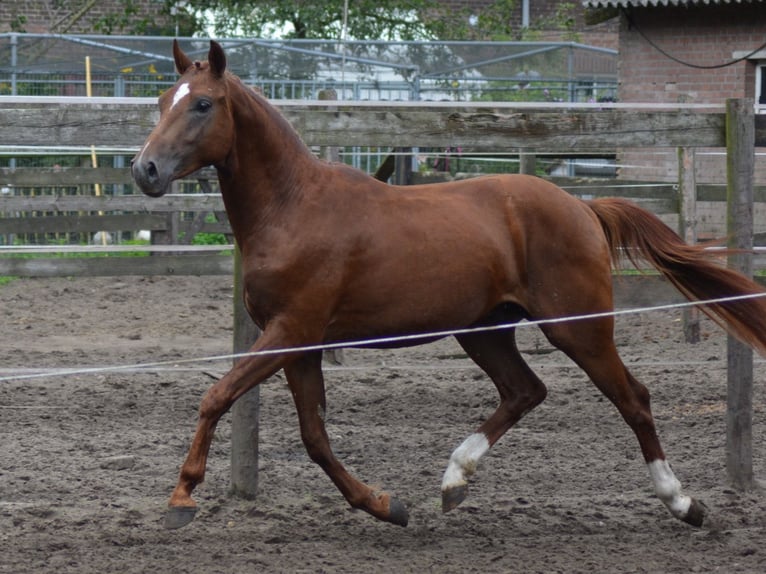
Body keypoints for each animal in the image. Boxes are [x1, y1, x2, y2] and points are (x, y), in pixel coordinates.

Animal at [132, 40, 766, 532]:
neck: (294, 208)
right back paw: (454, 480)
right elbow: (314, 436)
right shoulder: (298, 342)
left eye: (203, 104)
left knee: (633, 398)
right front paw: (386, 506)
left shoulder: (291, 331)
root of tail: (584, 208)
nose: (145, 170)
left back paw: (684, 503)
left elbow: (217, 396)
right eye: (163, 102)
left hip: (578, 328)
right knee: (525, 391)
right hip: (484, 330)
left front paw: (181, 498)